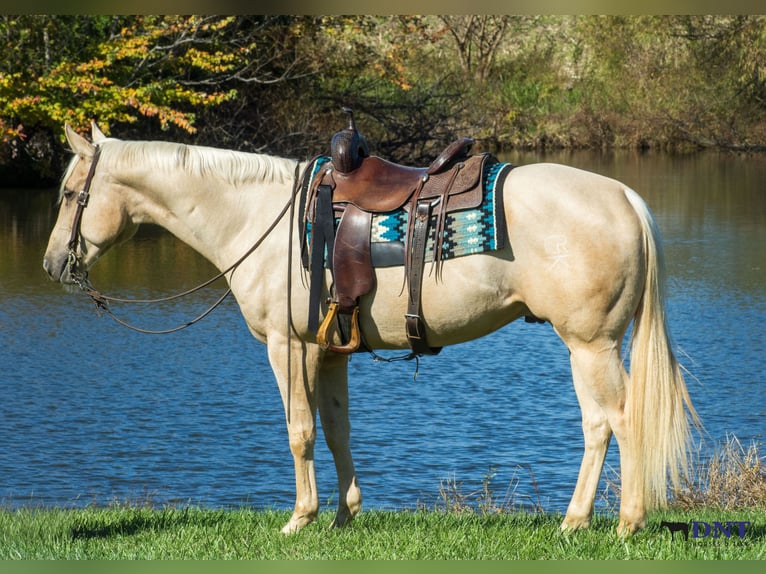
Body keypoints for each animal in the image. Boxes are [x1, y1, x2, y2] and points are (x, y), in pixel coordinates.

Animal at [43, 123, 698, 535]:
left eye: (72, 193)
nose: (53, 265)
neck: (258, 216)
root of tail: (623, 195)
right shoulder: (330, 352)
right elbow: (337, 432)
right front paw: (343, 515)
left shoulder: (287, 347)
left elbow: (300, 432)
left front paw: (300, 519)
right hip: (588, 346)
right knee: (598, 426)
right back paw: (575, 521)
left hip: (590, 345)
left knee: (618, 420)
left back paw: (624, 524)